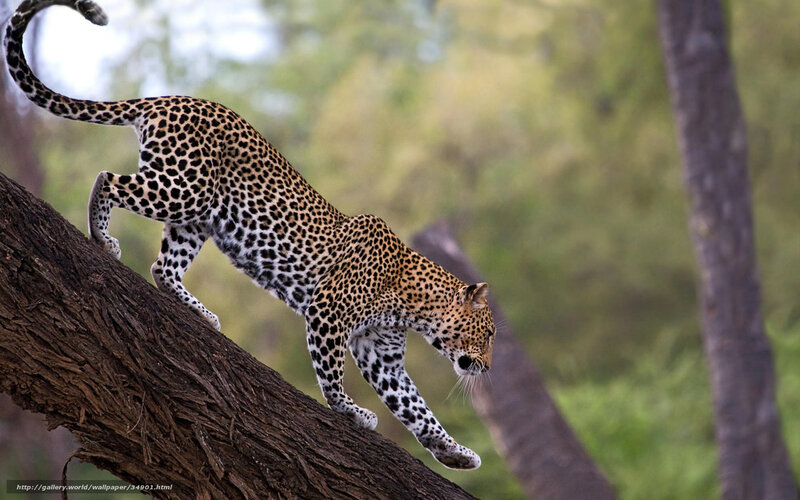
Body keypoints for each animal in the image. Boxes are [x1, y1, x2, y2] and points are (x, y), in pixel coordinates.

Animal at [4, 0, 496, 470]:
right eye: (490, 333)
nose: (488, 369)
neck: (413, 305)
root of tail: (169, 98)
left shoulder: (382, 355)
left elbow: (417, 409)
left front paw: (455, 452)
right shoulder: (328, 313)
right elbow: (333, 375)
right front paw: (351, 412)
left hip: (198, 217)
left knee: (163, 266)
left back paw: (201, 314)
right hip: (182, 189)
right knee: (107, 180)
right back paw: (102, 238)